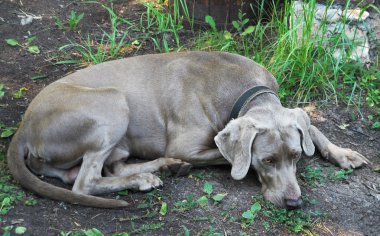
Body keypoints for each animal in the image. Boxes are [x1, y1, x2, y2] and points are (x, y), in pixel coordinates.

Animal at [5, 51, 368, 208]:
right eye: (267, 161)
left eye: (294, 156)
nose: (293, 203)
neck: (242, 89)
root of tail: (23, 125)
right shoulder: (187, 146)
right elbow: (228, 159)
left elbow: (313, 128)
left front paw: (343, 154)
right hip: (113, 103)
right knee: (85, 182)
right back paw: (146, 177)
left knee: (102, 169)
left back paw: (158, 170)